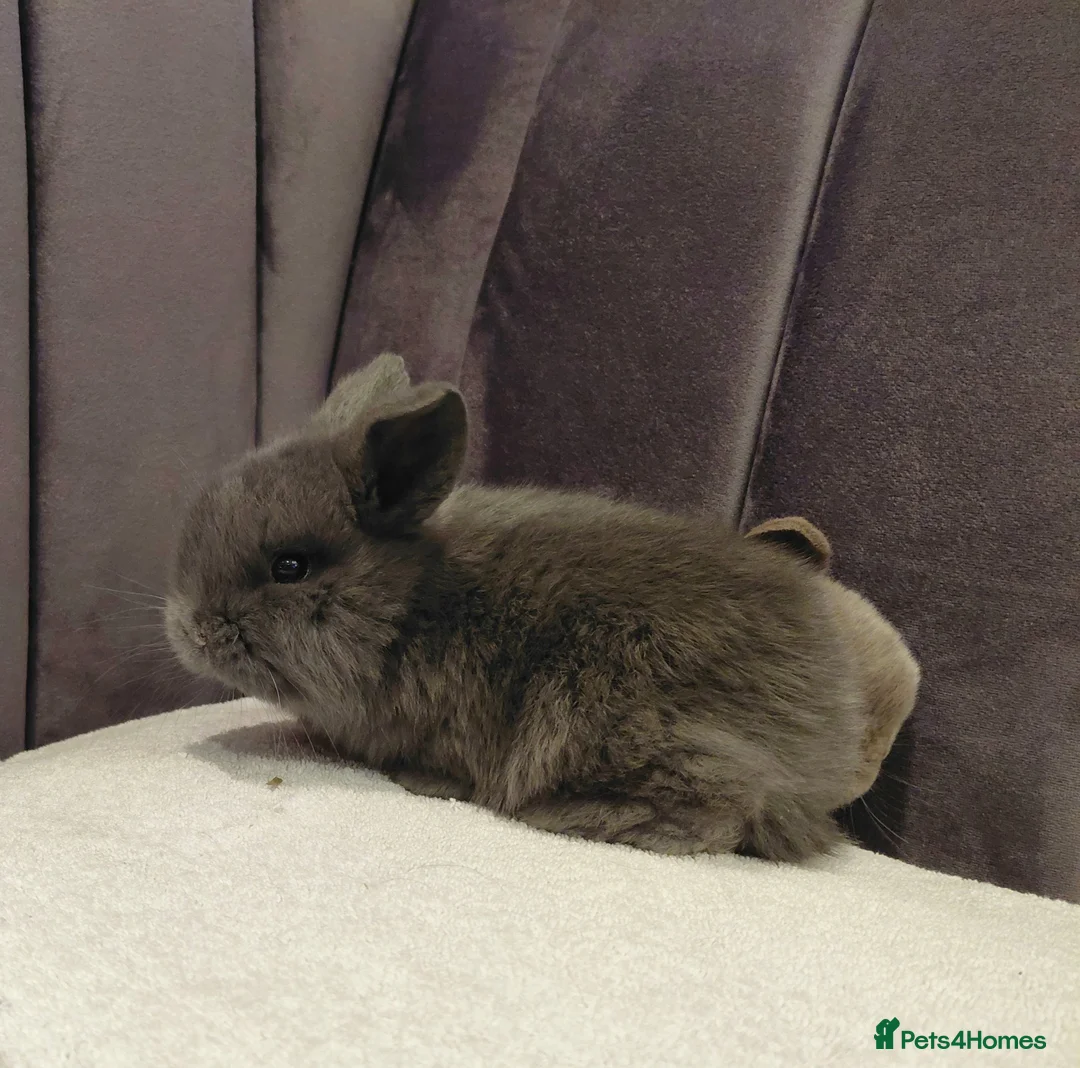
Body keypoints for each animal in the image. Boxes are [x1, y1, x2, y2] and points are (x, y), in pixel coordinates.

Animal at [166, 352, 920, 861]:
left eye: (289, 567)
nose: (188, 629)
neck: (413, 610)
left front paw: (423, 781)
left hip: (617, 715)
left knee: (726, 811)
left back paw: (568, 816)